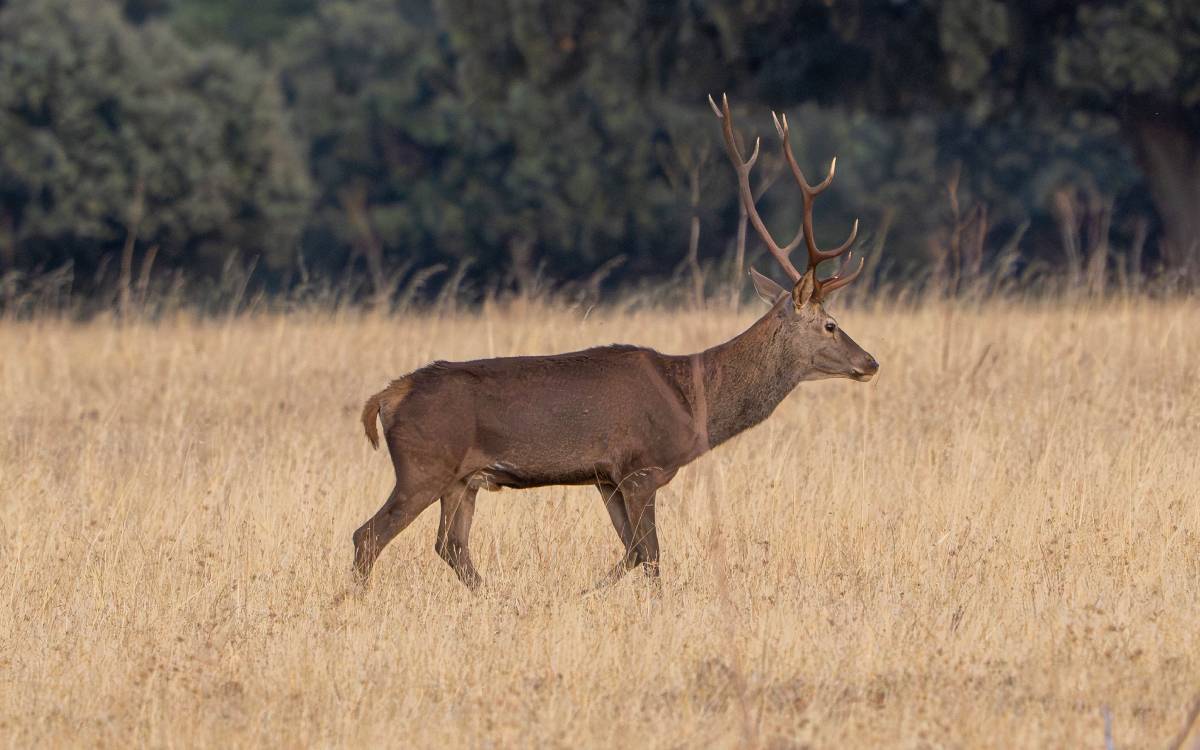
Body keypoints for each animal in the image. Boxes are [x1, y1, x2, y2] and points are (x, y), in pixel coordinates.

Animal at [353, 95, 879, 591]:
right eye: (830, 324)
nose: (871, 362)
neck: (692, 403)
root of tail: (385, 397)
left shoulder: (605, 478)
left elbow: (631, 554)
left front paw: (586, 593)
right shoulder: (641, 468)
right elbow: (651, 556)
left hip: (464, 480)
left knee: (450, 545)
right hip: (424, 465)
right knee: (369, 535)